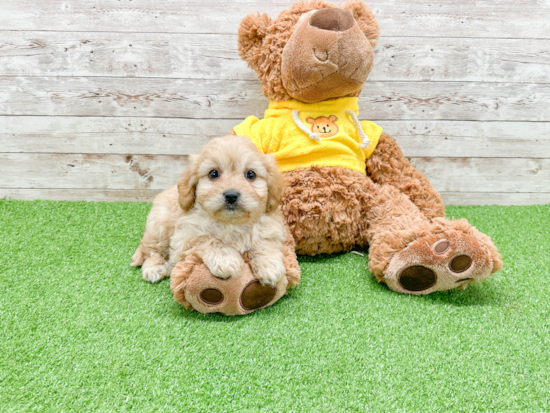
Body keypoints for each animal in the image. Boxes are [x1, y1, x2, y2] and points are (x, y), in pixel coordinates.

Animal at [132, 135, 286, 286]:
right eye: (213, 174)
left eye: (251, 174)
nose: (231, 195)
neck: (231, 223)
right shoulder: (184, 239)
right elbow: (208, 239)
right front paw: (225, 260)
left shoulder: (271, 229)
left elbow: (264, 243)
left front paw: (270, 266)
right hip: (159, 226)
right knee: (151, 250)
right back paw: (154, 267)